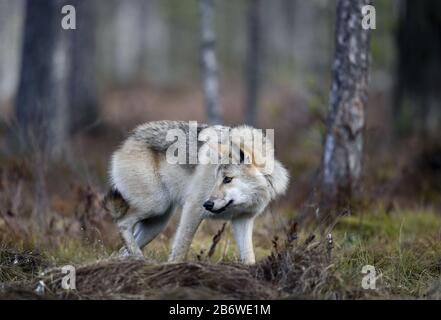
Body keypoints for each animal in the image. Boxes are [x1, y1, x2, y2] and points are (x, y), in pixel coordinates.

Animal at [103, 121, 288, 264]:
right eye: (216, 179)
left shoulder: (243, 219)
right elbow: (180, 248)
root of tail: (130, 138)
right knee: (122, 223)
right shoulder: (193, 209)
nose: (208, 204)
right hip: (156, 206)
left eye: (227, 179)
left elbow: (249, 258)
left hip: (157, 222)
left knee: (122, 248)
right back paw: (139, 258)